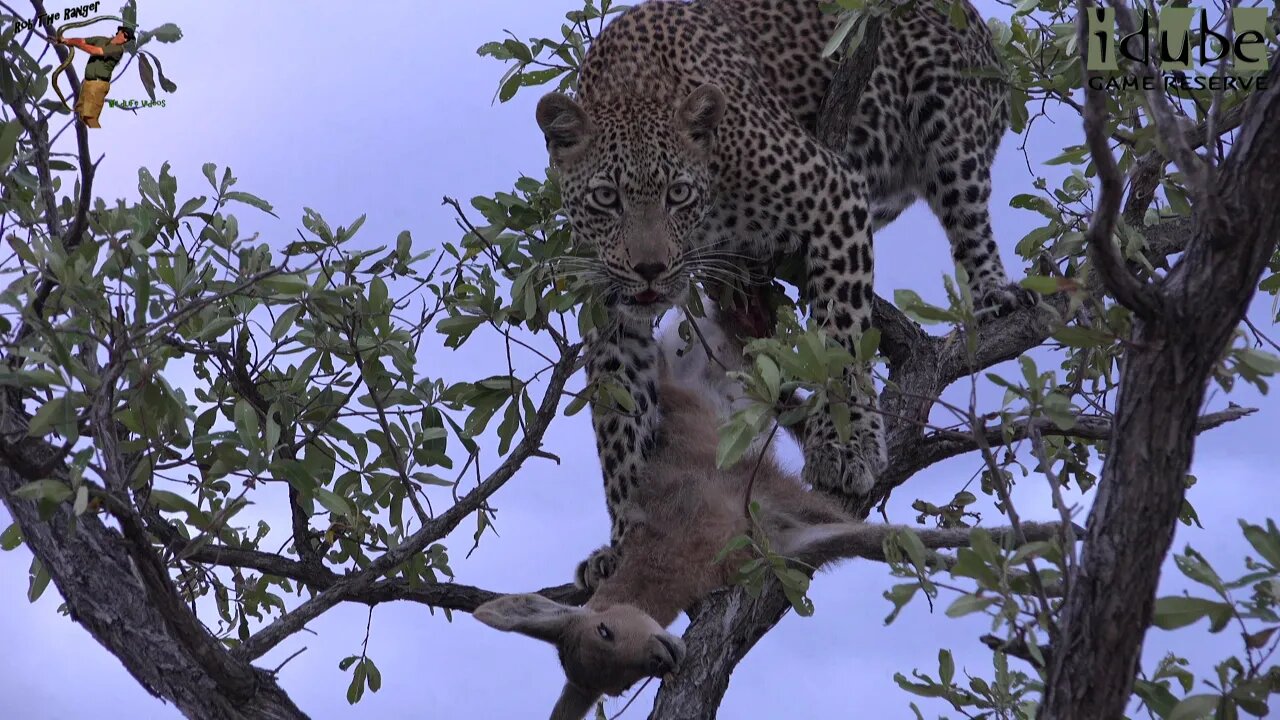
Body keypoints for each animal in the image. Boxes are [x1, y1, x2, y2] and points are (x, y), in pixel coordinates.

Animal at [535, 0, 1034, 589]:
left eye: (677, 194)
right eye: (606, 199)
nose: (651, 269)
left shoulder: (833, 194)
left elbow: (840, 337)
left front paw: (846, 446)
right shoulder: (607, 299)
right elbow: (621, 422)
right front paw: (631, 539)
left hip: (949, 126)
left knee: (968, 218)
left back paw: (994, 294)